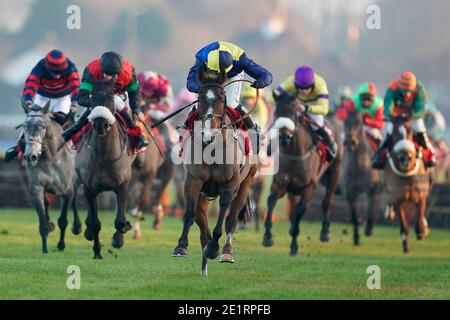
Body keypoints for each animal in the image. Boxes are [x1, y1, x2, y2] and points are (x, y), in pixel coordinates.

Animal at [21, 101, 81, 254]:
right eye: (25, 126)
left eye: (42, 126)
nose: (30, 156)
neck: (50, 157)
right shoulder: (36, 188)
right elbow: (42, 220)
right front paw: (45, 249)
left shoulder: (67, 191)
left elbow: (63, 220)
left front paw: (61, 245)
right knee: (47, 202)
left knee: (75, 199)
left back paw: (77, 227)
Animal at [75, 79, 134, 258]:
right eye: (92, 100)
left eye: (110, 99)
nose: (100, 125)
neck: (104, 155)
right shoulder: (89, 188)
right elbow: (95, 223)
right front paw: (97, 251)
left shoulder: (123, 185)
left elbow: (120, 221)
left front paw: (119, 239)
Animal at [171, 69, 256, 276]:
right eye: (201, 98)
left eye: (222, 98)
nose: (208, 134)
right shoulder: (193, 181)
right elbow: (190, 213)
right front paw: (181, 246)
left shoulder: (231, 184)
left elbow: (224, 216)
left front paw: (214, 247)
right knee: (201, 221)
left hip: (245, 184)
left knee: (232, 219)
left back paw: (225, 252)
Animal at [342, 110, 382, 245]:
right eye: (345, 121)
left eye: (358, 122)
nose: (351, 142)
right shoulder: (350, 192)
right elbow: (354, 215)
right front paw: (356, 238)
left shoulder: (373, 189)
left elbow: (372, 208)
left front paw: (369, 229)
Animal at [384, 114, 432, 252]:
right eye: (394, 133)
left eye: (410, 131)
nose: (405, 157)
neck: (407, 174)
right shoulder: (397, 198)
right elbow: (404, 225)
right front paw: (406, 245)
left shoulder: (421, 196)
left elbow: (419, 218)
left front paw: (422, 231)